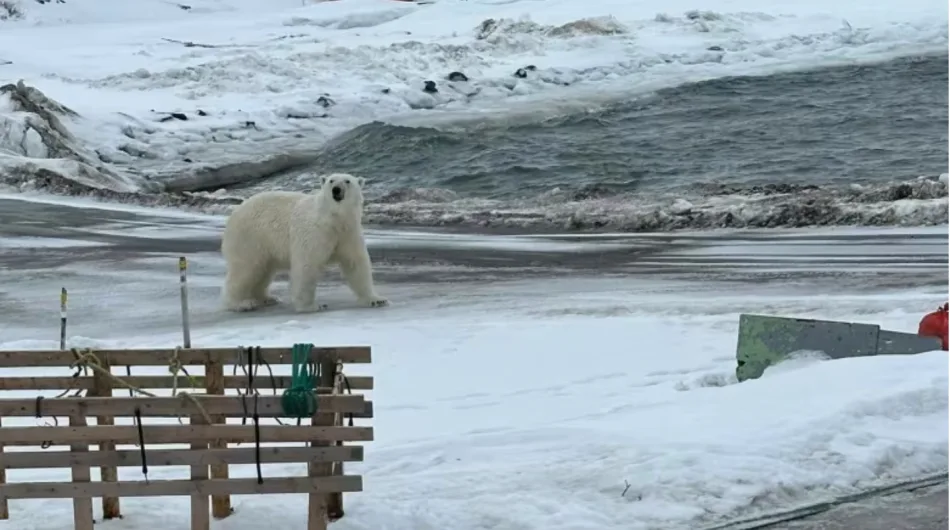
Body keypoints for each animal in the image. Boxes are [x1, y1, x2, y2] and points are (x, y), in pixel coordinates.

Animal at [221, 173, 388, 312]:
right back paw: (241, 303)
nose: (336, 190)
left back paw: (267, 298)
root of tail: (234, 213)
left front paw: (376, 300)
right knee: (246, 269)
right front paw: (311, 306)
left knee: (263, 270)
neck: (332, 221)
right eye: (331, 180)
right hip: (251, 237)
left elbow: (356, 263)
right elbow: (307, 265)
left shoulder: (348, 234)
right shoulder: (314, 233)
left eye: (347, 181)